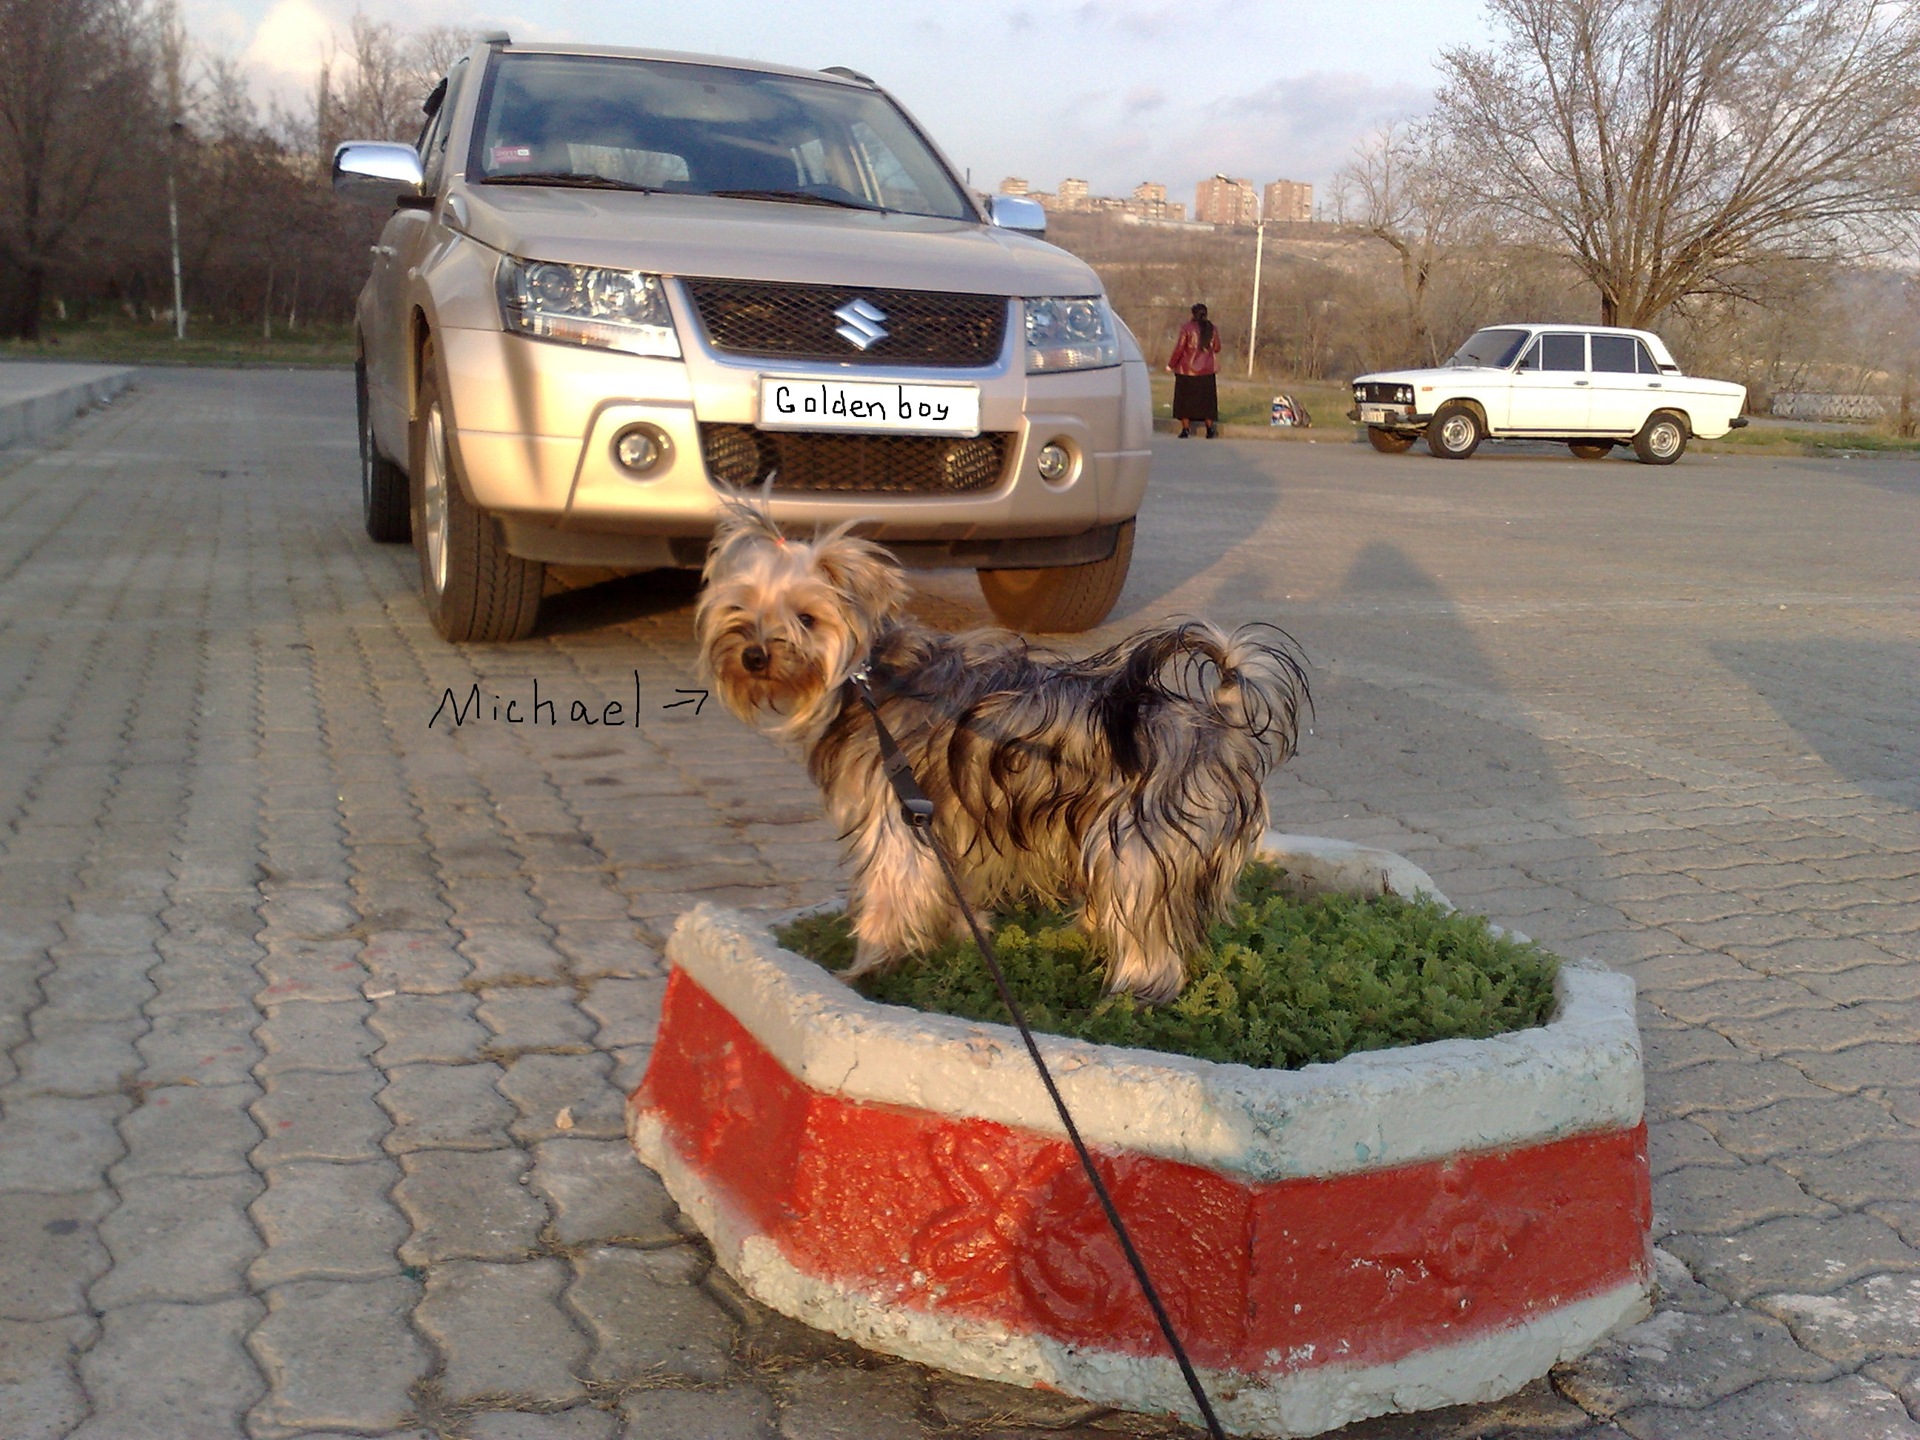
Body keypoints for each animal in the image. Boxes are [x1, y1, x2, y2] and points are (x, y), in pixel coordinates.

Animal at [698, 506, 1313, 1006]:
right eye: (741, 608)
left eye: (807, 618)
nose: (754, 655)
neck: (871, 677)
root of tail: (1219, 725)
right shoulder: (945, 823)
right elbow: (950, 891)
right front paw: (962, 937)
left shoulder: (896, 816)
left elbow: (889, 895)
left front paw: (863, 968)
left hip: (1138, 842)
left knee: (1148, 937)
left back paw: (1127, 996)